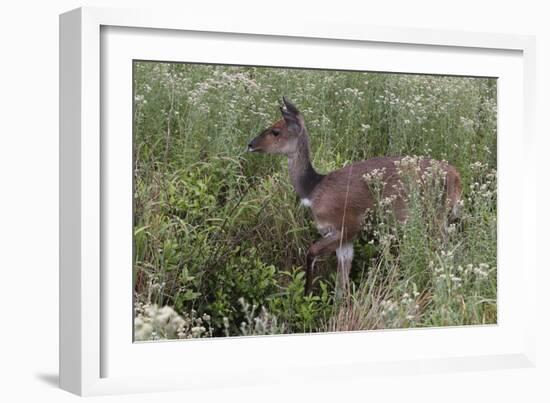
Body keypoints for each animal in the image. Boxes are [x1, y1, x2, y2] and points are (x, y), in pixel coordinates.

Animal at [248, 96, 464, 296]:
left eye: (275, 131)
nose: (250, 144)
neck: (313, 188)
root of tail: (456, 176)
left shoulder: (346, 227)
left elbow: (311, 252)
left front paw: (307, 293)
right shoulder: (345, 240)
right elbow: (341, 285)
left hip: (432, 218)